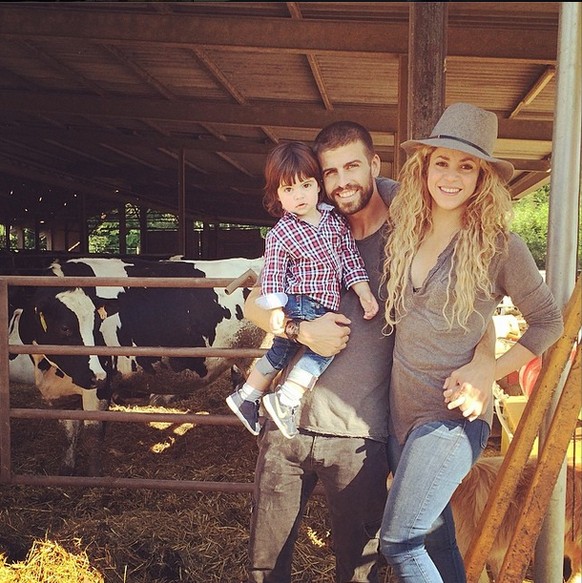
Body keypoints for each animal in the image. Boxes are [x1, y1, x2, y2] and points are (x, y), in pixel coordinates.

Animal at [7, 258, 266, 476]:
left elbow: (93, 433)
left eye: (96, 325)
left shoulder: (101, 386)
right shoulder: (61, 393)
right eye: (65, 328)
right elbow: (69, 432)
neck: (48, 367)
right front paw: (66, 469)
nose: (97, 375)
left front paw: (94, 477)